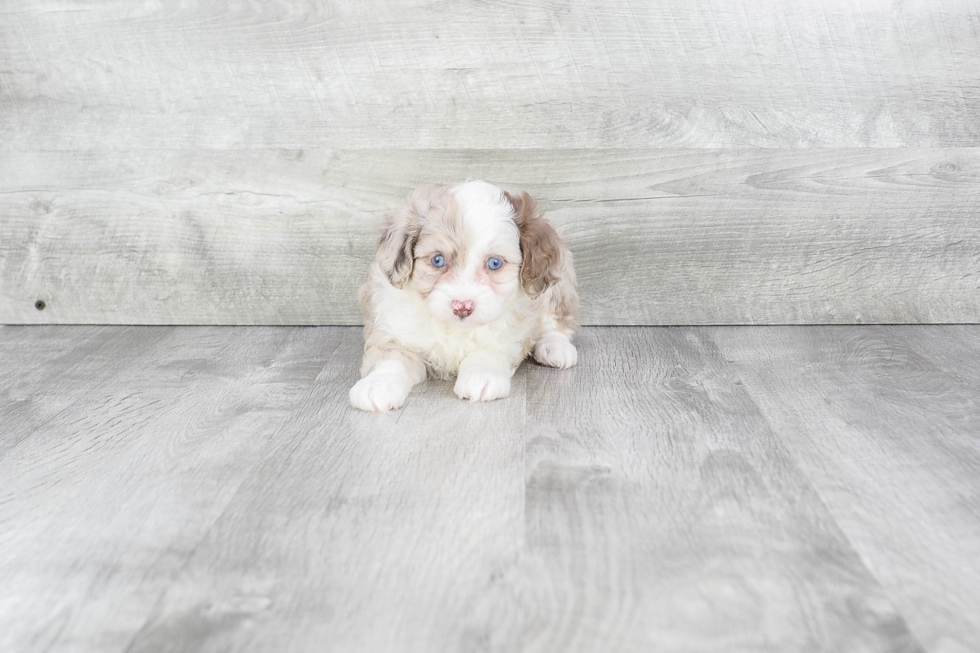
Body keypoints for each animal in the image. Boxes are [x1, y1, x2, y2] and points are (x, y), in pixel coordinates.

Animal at [350, 181, 580, 410]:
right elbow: (390, 358)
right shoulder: (393, 326)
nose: (462, 307)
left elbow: (492, 346)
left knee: (556, 321)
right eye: (437, 260)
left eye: (494, 263)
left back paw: (555, 347)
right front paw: (377, 385)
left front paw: (482, 375)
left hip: (558, 288)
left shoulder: (515, 326)